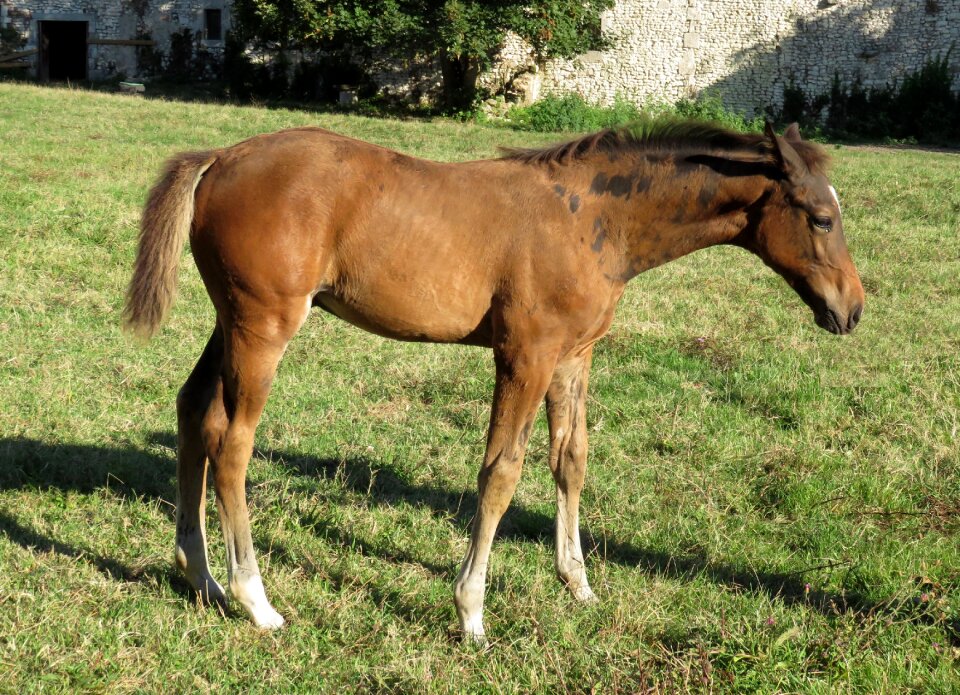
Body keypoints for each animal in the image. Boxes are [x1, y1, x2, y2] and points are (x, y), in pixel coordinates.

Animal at [124, 119, 868, 640]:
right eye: (821, 218)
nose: (852, 309)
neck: (593, 218)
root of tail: (220, 158)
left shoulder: (573, 355)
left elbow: (570, 460)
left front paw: (578, 583)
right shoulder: (524, 354)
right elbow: (501, 472)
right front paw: (471, 612)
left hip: (231, 321)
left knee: (195, 411)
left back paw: (202, 576)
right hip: (264, 326)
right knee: (234, 442)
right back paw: (257, 601)